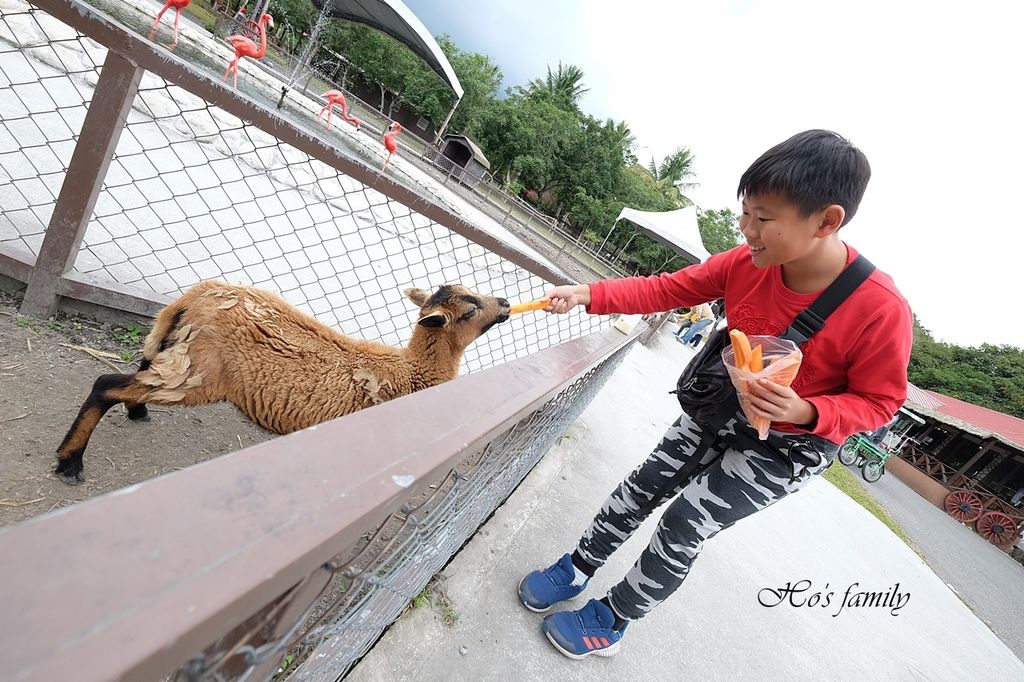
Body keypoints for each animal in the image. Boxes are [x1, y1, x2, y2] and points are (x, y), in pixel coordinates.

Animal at [54, 278, 509, 481]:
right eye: (470, 310)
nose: (505, 303)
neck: (412, 371)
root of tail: (196, 295)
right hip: (198, 373)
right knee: (105, 383)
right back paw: (70, 461)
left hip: (178, 356)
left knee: (138, 372)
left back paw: (137, 411)